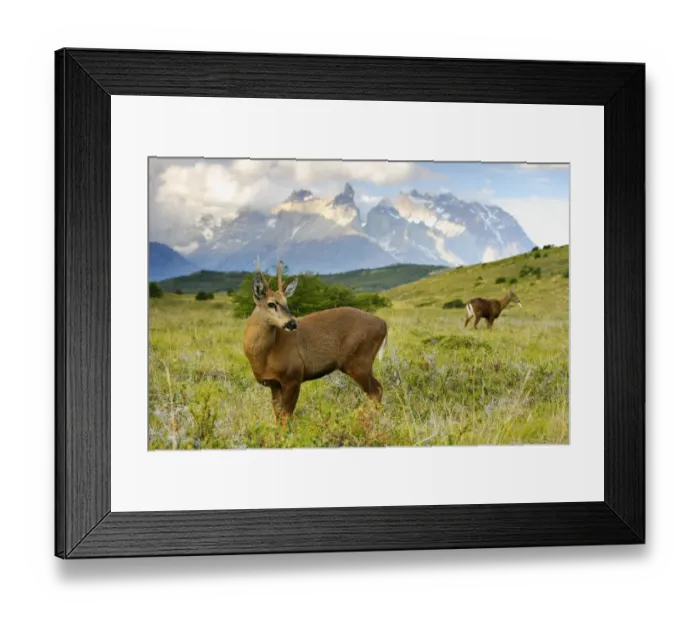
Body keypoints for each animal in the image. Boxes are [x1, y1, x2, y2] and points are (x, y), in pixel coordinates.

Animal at [243, 261, 389, 427]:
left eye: (286, 302)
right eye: (271, 304)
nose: (292, 323)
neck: (265, 355)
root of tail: (383, 324)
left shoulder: (293, 376)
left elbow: (286, 417)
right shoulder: (274, 384)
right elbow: (278, 417)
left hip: (358, 361)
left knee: (376, 391)